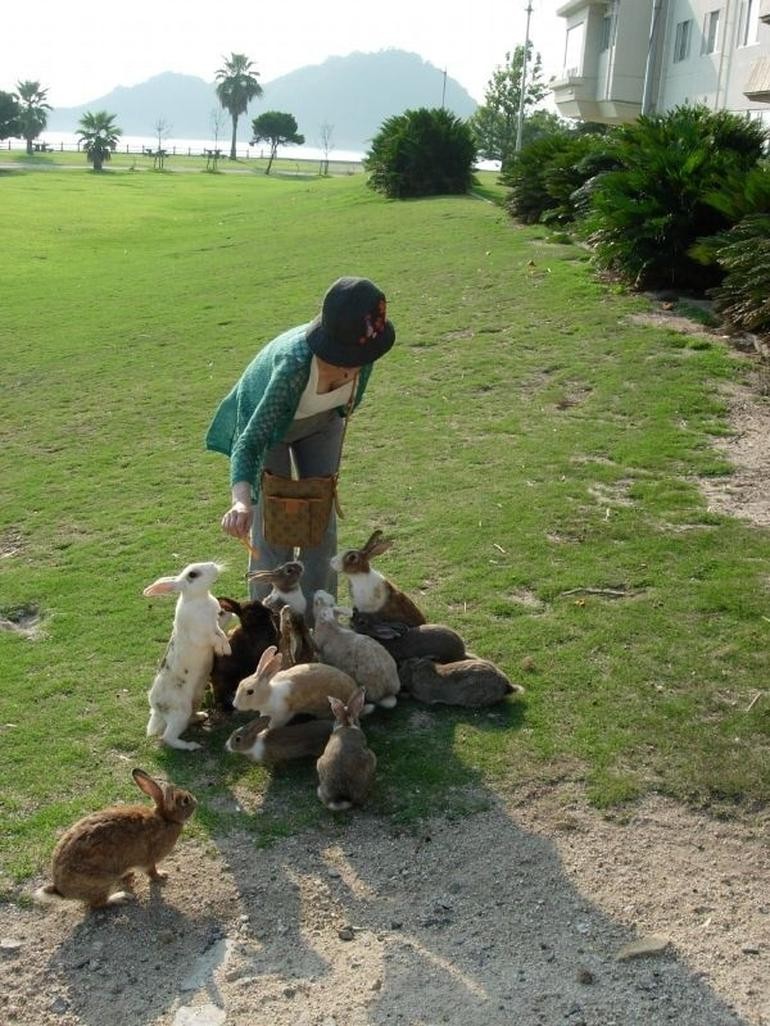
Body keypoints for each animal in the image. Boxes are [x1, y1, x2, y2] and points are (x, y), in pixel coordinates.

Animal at [37, 767, 197, 911]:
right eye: (185, 800)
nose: (196, 801)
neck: (166, 819)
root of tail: (60, 889)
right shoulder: (149, 859)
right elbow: (152, 872)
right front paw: (162, 875)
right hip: (101, 880)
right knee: (98, 904)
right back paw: (121, 897)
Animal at [143, 566, 231, 751]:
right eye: (193, 574)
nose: (214, 566)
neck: (200, 599)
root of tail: (156, 708)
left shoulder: (215, 626)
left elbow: (220, 633)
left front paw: (225, 647)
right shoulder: (202, 635)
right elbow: (215, 638)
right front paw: (225, 649)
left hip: (195, 699)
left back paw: (201, 716)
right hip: (180, 713)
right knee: (168, 737)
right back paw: (192, 746)